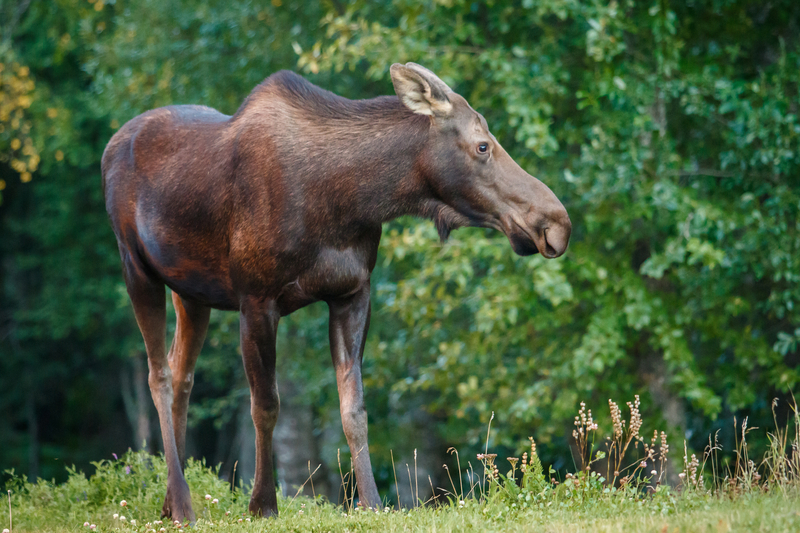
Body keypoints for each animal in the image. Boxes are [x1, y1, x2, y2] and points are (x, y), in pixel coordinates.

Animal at [101, 62, 568, 520]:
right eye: (483, 146)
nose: (557, 222)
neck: (352, 198)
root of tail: (109, 148)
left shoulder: (352, 293)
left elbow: (354, 409)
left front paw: (373, 503)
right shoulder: (256, 299)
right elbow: (265, 405)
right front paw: (263, 504)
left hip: (190, 290)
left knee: (181, 374)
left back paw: (168, 502)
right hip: (135, 267)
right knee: (159, 376)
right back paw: (182, 505)